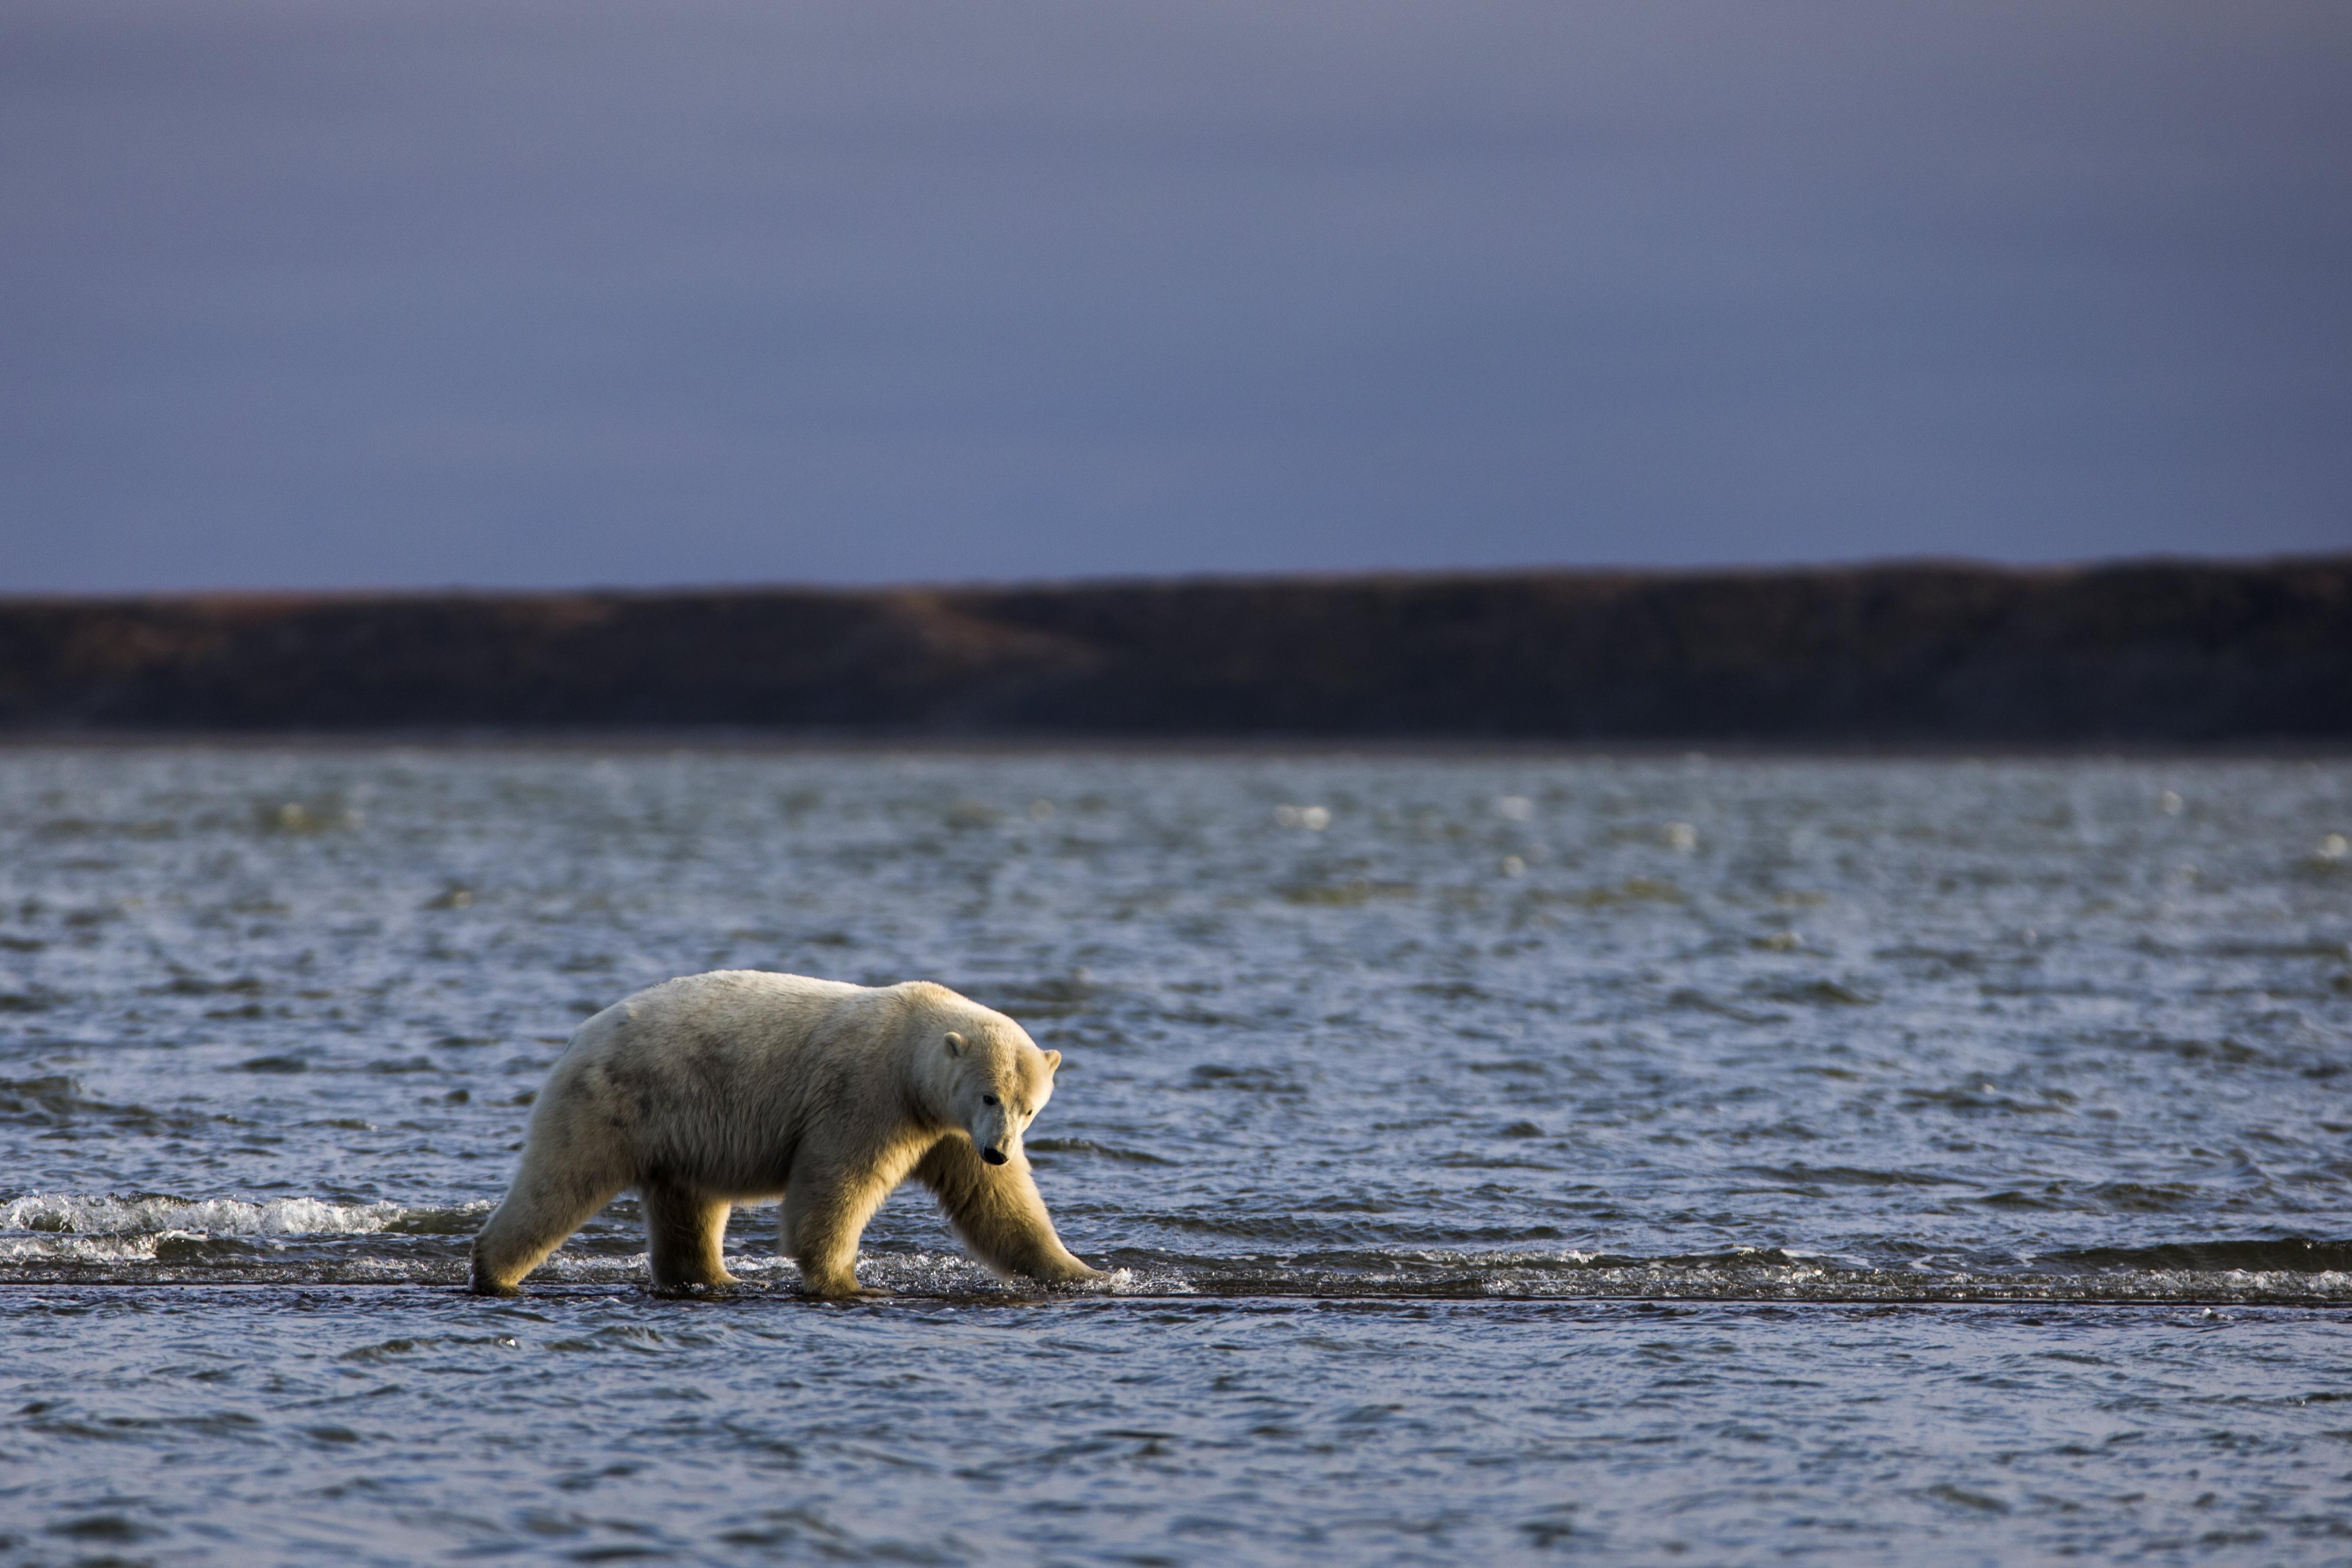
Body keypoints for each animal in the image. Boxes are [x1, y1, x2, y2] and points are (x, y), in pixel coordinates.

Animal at [477, 968, 1110, 1297]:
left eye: (1029, 1108)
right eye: (989, 1096)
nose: (1000, 1151)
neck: (910, 1051)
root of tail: (580, 1037)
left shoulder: (949, 1131)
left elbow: (998, 1206)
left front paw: (1087, 1273)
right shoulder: (867, 1096)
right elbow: (836, 1184)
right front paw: (849, 1283)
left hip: (680, 1132)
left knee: (688, 1206)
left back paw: (717, 1276)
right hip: (615, 1103)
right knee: (561, 1183)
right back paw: (495, 1270)